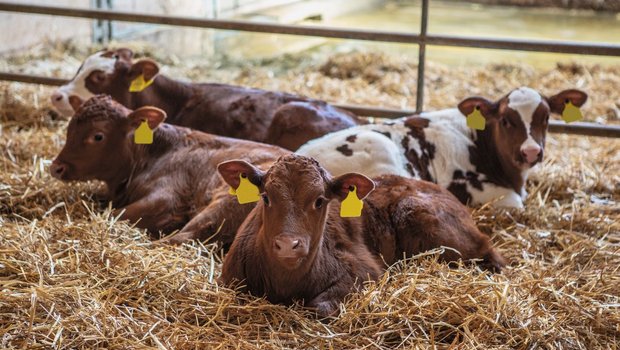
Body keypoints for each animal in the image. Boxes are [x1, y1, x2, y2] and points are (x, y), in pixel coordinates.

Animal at [50, 93, 288, 246]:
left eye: (98, 136)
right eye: (69, 128)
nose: (56, 168)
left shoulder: (167, 198)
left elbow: (114, 214)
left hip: (222, 204)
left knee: (181, 237)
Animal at [217, 154, 504, 316]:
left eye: (319, 200)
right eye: (265, 197)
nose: (289, 245)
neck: (285, 282)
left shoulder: (365, 270)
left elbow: (319, 306)